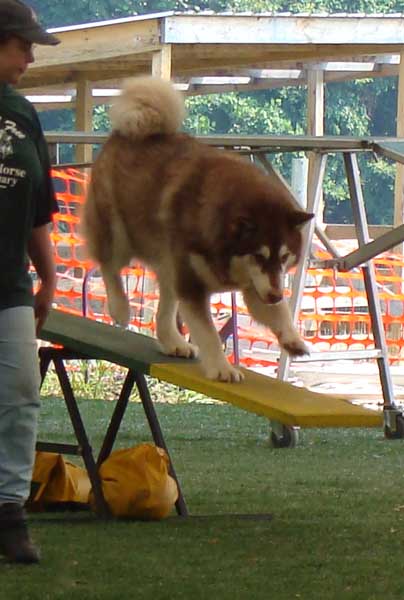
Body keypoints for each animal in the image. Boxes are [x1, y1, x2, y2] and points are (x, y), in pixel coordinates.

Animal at [82, 77, 314, 382]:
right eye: (258, 255)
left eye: (285, 257)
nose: (275, 294)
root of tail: (126, 132)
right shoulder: (192, 283)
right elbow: (208, 333)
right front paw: (222, 367)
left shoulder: (257, 283)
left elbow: (279, 311)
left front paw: (292, 339)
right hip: (119, 234)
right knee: (109, 266)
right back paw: (120, 307)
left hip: (169, 265)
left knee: (165, 308)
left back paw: (172, 341)